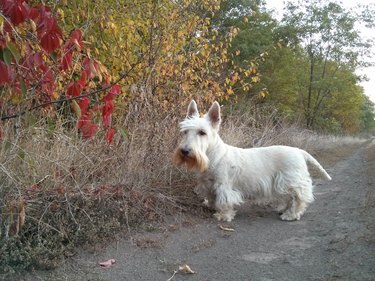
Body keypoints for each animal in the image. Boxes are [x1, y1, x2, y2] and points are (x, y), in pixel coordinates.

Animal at [173, 100, 332, 221]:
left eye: (202, 132)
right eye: (185, 131)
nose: (185, 151)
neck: (212, 155)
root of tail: (299, 151)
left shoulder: (224, 185)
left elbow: (224, 201)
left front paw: (223, 216)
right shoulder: (209, 184)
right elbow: (212, 198)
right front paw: (211, 206)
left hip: (292, 181)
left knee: (299, 198)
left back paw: (290, 215)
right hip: (284, 184)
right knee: (289, 198)